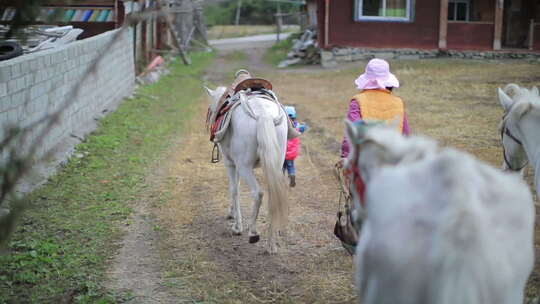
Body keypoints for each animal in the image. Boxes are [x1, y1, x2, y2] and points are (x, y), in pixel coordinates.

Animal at [205, 85, 288, 252]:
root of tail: (264, 115)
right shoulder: (236, 165)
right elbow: (235, 188)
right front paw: (232, 214)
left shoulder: (231, 164)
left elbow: (234, 190)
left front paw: (237, 226)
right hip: (274, 166)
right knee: (273, 196)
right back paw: (271, 244)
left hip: (245, 168)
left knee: (258, 193)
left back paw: (253, 233)